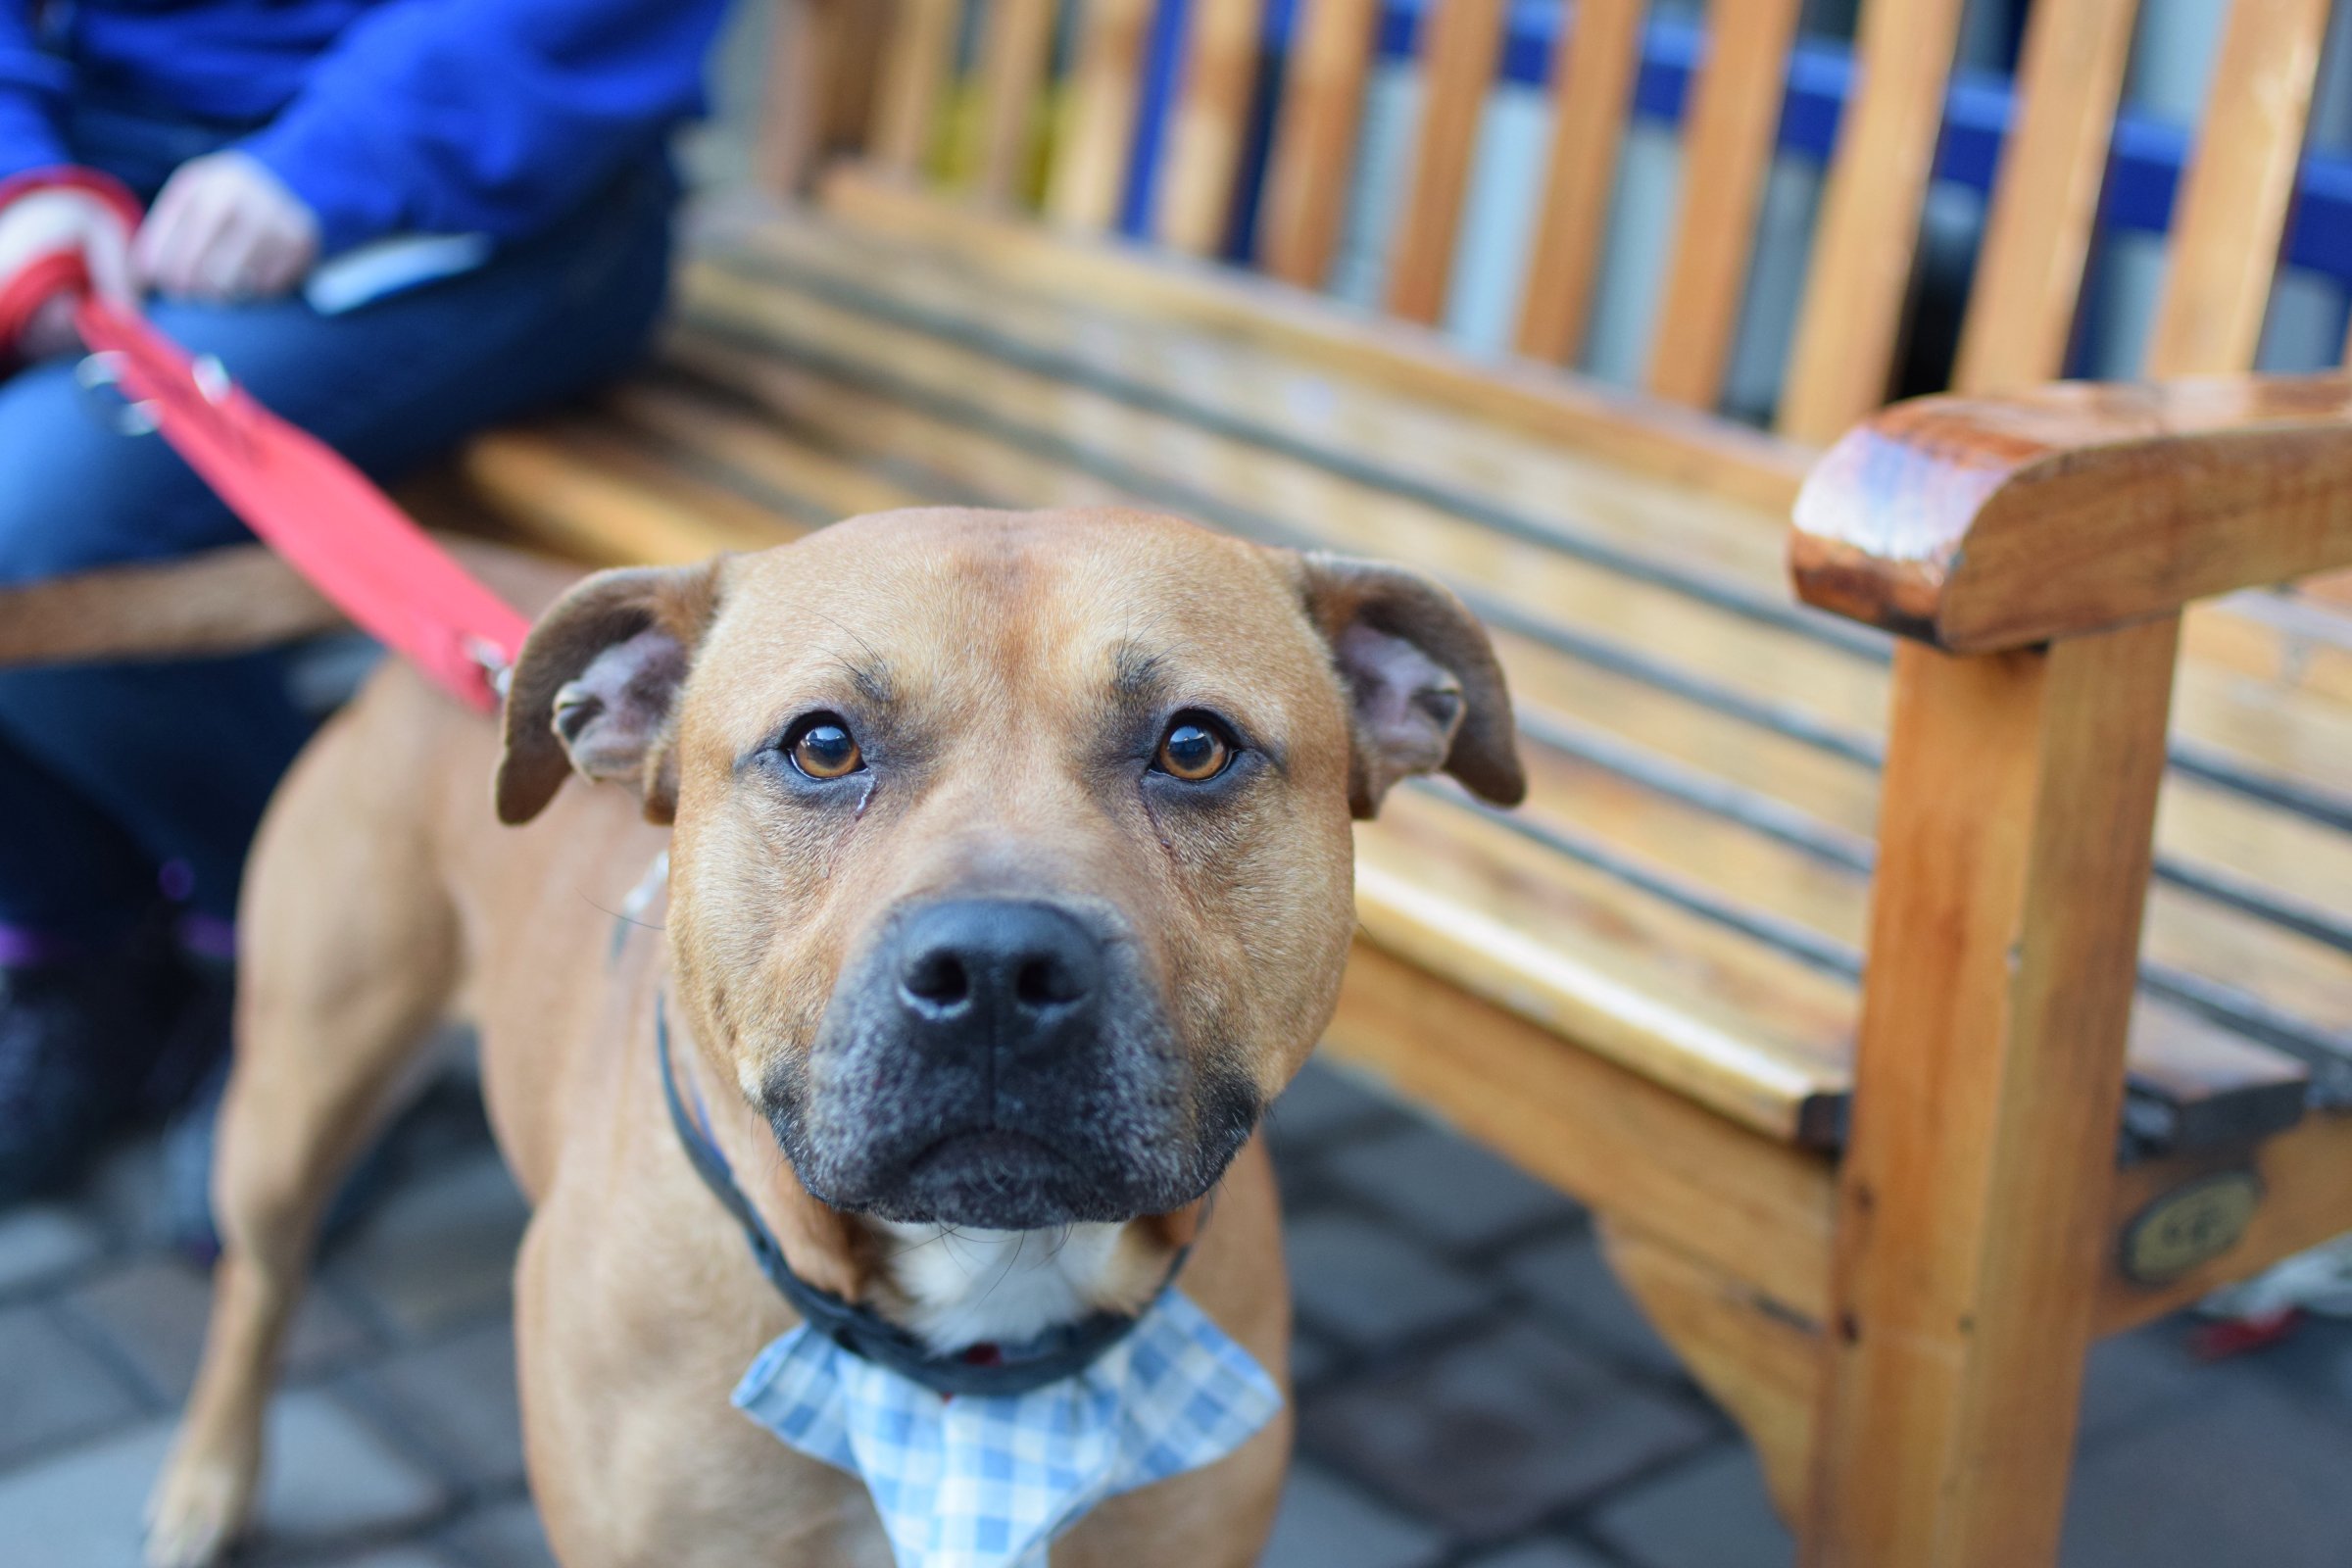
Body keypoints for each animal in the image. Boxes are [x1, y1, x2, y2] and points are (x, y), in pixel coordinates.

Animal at [84, 506, 1523, 1567]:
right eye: (823, 745)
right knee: (258, 1283)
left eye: (1195, 746)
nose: (994, 969)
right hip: (295, 1092)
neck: (972, 1355)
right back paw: (207, 1482)